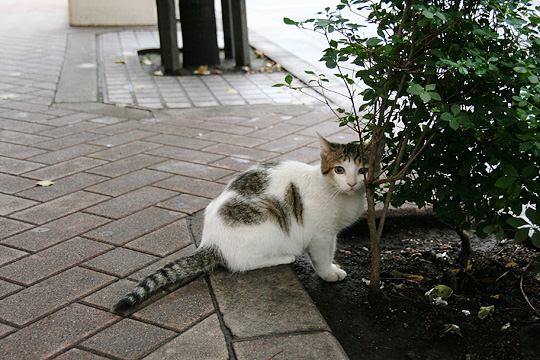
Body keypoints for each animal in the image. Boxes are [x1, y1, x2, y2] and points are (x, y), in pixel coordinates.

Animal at [111, 135, 370, 312]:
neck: (340, 195)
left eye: (362, 170)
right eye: (339, 169)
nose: (351, 183)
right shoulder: (320, 235)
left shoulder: (332, 233)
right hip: (268, 220)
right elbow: (321, 258)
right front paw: (329, 273)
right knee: (240, 263)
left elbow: (332, 251)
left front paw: (334, 266)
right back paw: (283, 257)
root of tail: (210, 242)